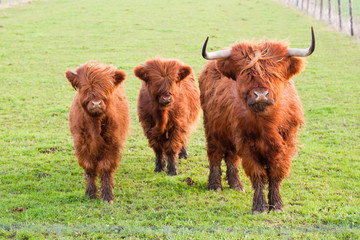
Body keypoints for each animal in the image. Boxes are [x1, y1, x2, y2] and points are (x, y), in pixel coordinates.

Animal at [65, 61, 129, 202]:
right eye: (84, 87)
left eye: (106, 87)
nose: (96, 103)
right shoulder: (82, 144)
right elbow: (89, 168)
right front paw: (90, 193)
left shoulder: (112, 144)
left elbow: (106, 168)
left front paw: (107, 195)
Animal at [200, 27, 316, 213]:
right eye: (245, 74)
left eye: (274, 74)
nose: (261, 94)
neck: (267, 124)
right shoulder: (247, 145)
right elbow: (258, 175)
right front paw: (259, 206)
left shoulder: (285, 145)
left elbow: (276, 174)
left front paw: (276, 204)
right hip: (212, 128)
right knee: (215, 155)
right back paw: (215, 185)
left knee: (231, 158)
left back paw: (236, 185)